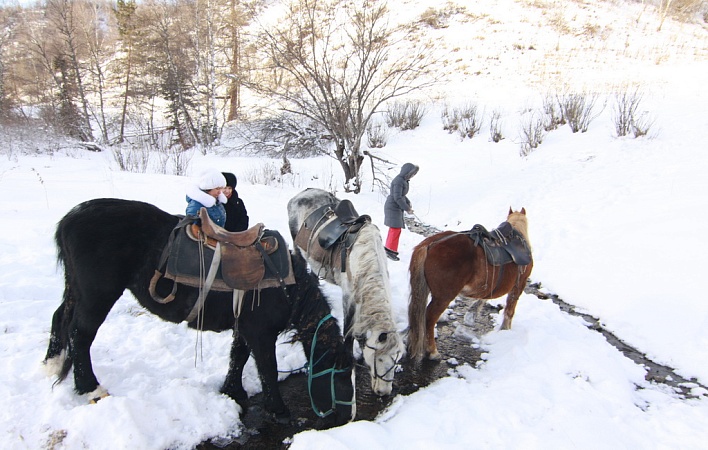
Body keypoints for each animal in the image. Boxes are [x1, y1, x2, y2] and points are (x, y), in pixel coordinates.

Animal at [43, 199, 354, 428]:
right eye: (339, 375)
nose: (346, 418)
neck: (288, 288)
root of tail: (72, 217)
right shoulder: (261, 334)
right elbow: (266, 368)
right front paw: (278, 410)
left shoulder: (244, 328)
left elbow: (238, 358)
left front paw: (232, 391)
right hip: (98, 295)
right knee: (80, 334)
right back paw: (90, 388)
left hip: (76, 289)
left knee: (60, 319)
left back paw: (53, 365)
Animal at [286, 188, 404, 396]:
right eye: (380, 358)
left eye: (396, 360)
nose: (384, 393)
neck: (363, 259)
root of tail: (302, 194)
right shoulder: (348, 297)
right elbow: (348, 331)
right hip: (298, 250)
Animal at [406, 208, 528, 362]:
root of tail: (430, 243)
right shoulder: (518, 286)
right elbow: (509, 311)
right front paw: (505, 329)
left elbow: (484, 298)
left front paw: (472, 314)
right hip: (443, 297)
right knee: (429, 318)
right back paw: (432, 351)